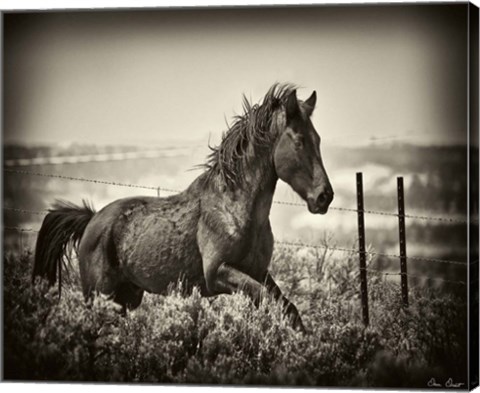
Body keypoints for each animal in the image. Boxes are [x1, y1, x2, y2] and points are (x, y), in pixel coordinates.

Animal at [32, 83, 334, 330]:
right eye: (299, 141)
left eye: (318, 140)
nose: (325, 197)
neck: (234, 209)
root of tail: (92, 220)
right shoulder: (218, 273)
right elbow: (267, 300)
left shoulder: (259, 272)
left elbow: (288, 310)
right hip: (99, 294)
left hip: (126, 297)